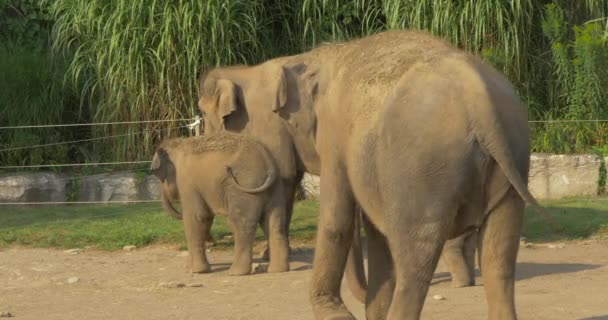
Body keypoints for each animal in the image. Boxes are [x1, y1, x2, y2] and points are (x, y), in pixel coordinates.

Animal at [148, 132, 288, 276]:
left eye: (158, 175)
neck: (179, 144)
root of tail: (268, 160)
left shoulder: (187, 183)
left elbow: (197, 217)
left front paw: (198, 271)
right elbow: (206, 217)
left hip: (245, 187)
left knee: (239, 222)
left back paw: (236, 272)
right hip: (275, 189)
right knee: (275, 222)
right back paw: (278, 270)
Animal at [196, 29, 540, 318]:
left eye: (209, 119)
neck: (313, 57)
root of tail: (480, 103)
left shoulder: (331, 138)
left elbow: (335, 220)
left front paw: (335, 312)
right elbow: (375, 236)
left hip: (422, 173)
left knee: (416, 263)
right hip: (511, 161)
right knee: (499, 259)